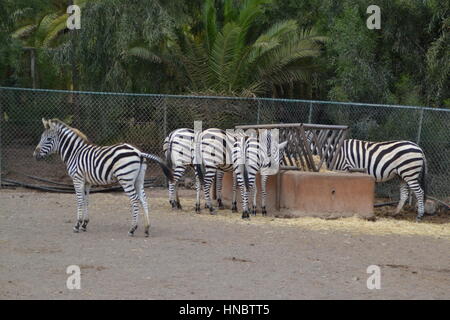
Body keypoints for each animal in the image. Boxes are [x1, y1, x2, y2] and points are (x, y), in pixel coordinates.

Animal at [33, 119, 174, 236]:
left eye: (49, 139)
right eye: (41, 138)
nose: (35, 155)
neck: (75, 153)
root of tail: (138, 152)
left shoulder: (77, 179)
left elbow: (79, 200)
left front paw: (77, 225)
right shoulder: (87, 181)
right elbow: (86, 200)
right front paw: (84, 224)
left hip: (126, 179)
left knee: (134, 200)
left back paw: (132, 229)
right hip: (138, 180)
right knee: (144, 199)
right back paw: (146, 228)